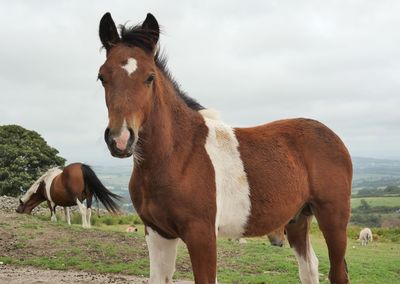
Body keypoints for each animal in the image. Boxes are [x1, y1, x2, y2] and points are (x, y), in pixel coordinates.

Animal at [98, 13, 352, 284]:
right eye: (102, 77)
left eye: (150, 77)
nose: (121, 140)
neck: (177, 155)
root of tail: (333, 137)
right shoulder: (157, 233)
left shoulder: (202, 234)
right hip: (298, 219)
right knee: (309, 267)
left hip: (333, 219)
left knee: (337, 272)